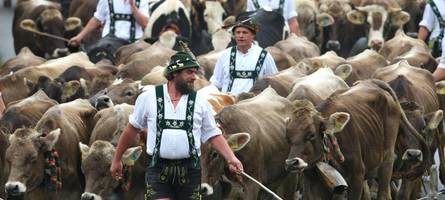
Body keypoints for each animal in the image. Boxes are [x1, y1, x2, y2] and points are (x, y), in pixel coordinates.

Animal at [286, 79, 422, 200]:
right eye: (287, 136)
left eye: (311, 134)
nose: (292, 162)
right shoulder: (312, 183)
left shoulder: (356, 176)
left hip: (387, 159)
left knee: (384, 194)